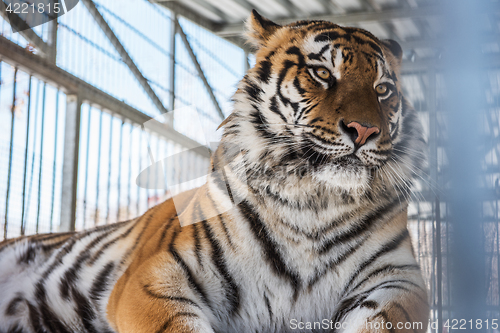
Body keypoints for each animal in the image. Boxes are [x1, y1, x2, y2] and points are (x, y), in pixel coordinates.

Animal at [0, 10, 430, 332]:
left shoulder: (397, 278)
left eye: (383, 90)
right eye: (323, 73)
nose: (365, 130)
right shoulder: (153, 276)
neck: (313, 202)